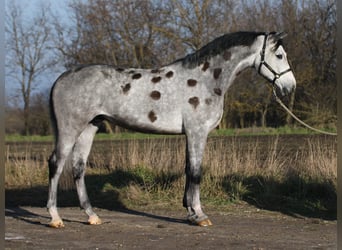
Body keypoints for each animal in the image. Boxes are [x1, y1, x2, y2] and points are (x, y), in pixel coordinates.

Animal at [46, 30, 296, 228]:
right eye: (279, 55)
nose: (290, 87)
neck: (206, 79)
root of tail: (61, 79)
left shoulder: (191, 134)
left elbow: (188, 170)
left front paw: (190, 212)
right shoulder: (197, 132)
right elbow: (196, 172)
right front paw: (200, 216)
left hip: (90, 127)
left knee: (78, 167)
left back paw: (92, 216)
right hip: (70, 128)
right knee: (56, 164)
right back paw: (55, 218)